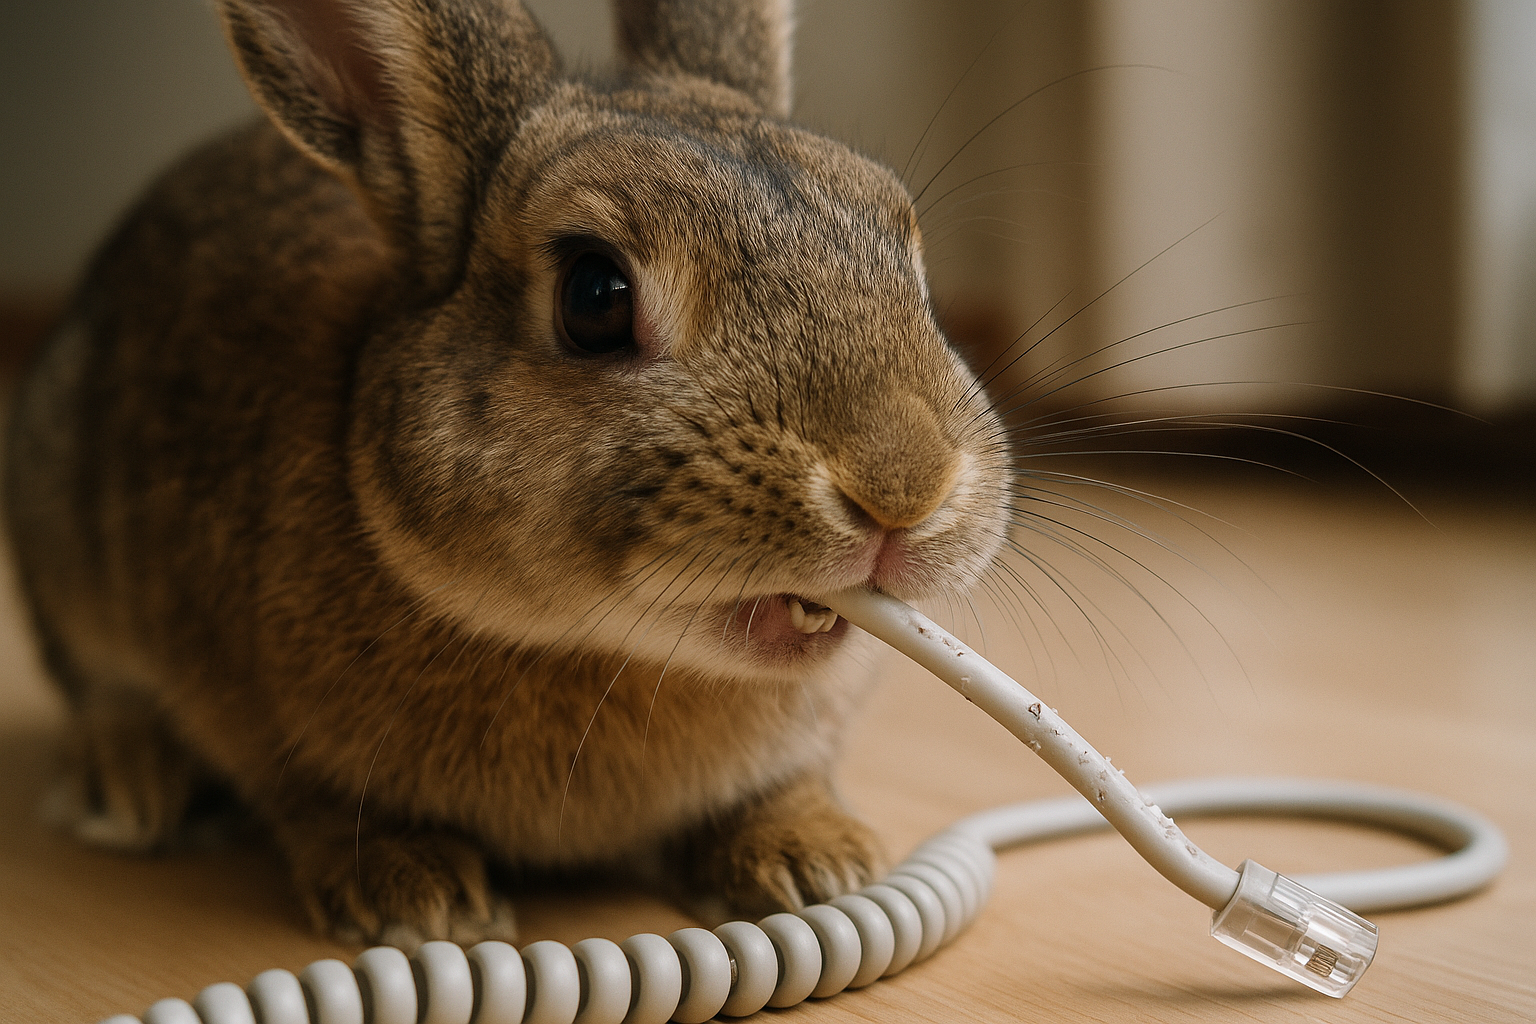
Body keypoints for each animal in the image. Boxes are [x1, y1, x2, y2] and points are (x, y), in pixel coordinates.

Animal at [4, 0, 1012, 946]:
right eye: (595, 296)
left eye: (906, 252)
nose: (903, 488)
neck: (594, 649)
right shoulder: (256, 712)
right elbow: (313, 802)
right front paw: (414, 898)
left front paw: (816, 860)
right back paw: (127, 788)